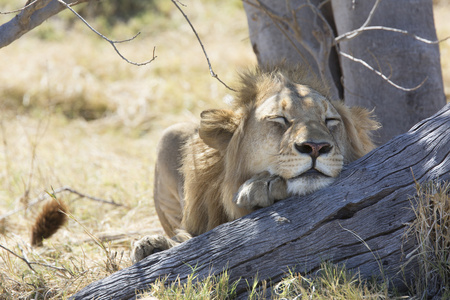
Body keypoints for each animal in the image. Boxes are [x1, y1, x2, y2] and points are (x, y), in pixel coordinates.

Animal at [131, 65, 380, 262]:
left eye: (330, 120)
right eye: (280, 119)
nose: (316, 147)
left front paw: (260, 187)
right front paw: (151, 245)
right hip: (168, 135)